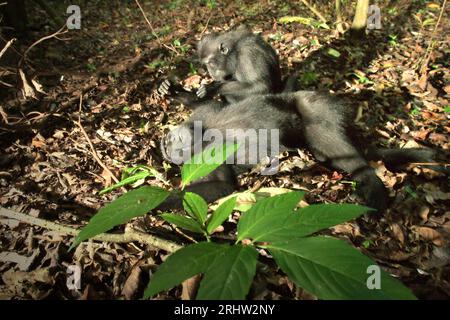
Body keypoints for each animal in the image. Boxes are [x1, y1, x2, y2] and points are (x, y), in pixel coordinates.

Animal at [156, 90, 434, 212]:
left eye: (173, 143)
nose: (166, 144)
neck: (202, 134)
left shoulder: (204, 120)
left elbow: (211, 104)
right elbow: (220, 185)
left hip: (317, 104)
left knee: (329, 137)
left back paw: (370, 181)